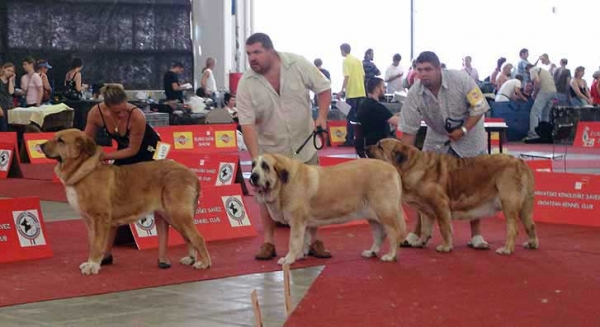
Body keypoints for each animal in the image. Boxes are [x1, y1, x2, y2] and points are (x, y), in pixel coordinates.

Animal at [42, 129, 211, 276]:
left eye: (60, 140)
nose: (41, 145)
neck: (83, 171)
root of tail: (191, 173)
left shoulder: (100, 218)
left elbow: (97, 245)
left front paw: (92, 266)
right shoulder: (89, 221)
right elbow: (92, 243)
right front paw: (90, 263)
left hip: (178, 212)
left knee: (197, 238)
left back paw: (204, 263)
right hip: (170, 215)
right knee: (188, 237)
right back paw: (190, 259)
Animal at [248, 154, 408, 266]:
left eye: (265, 166)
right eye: (253, 165)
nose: (253, 176)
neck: (283, 184)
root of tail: (392, 169)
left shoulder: (297, 222)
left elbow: (294, 241)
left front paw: (289, 259)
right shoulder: (304, 223)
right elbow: (304, 240)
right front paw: (300, 255)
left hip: (386, 212)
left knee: (394, 233)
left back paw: (391, 256)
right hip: (373, 216)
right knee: (380, 234)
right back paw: (372, 252)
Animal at [366, 139, 540, 256]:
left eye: (380, 146)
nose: (366, 145)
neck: (411, 166)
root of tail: (520, 161)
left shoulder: (440, 205)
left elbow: (444, 228)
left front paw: (445, 247)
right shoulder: (425, 211)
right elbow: (425, 228)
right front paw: (421, 242)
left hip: (508, 203)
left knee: (513, 228)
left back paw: (506, 249)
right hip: (524, 207)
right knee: (530, 225)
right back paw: (532, 243)